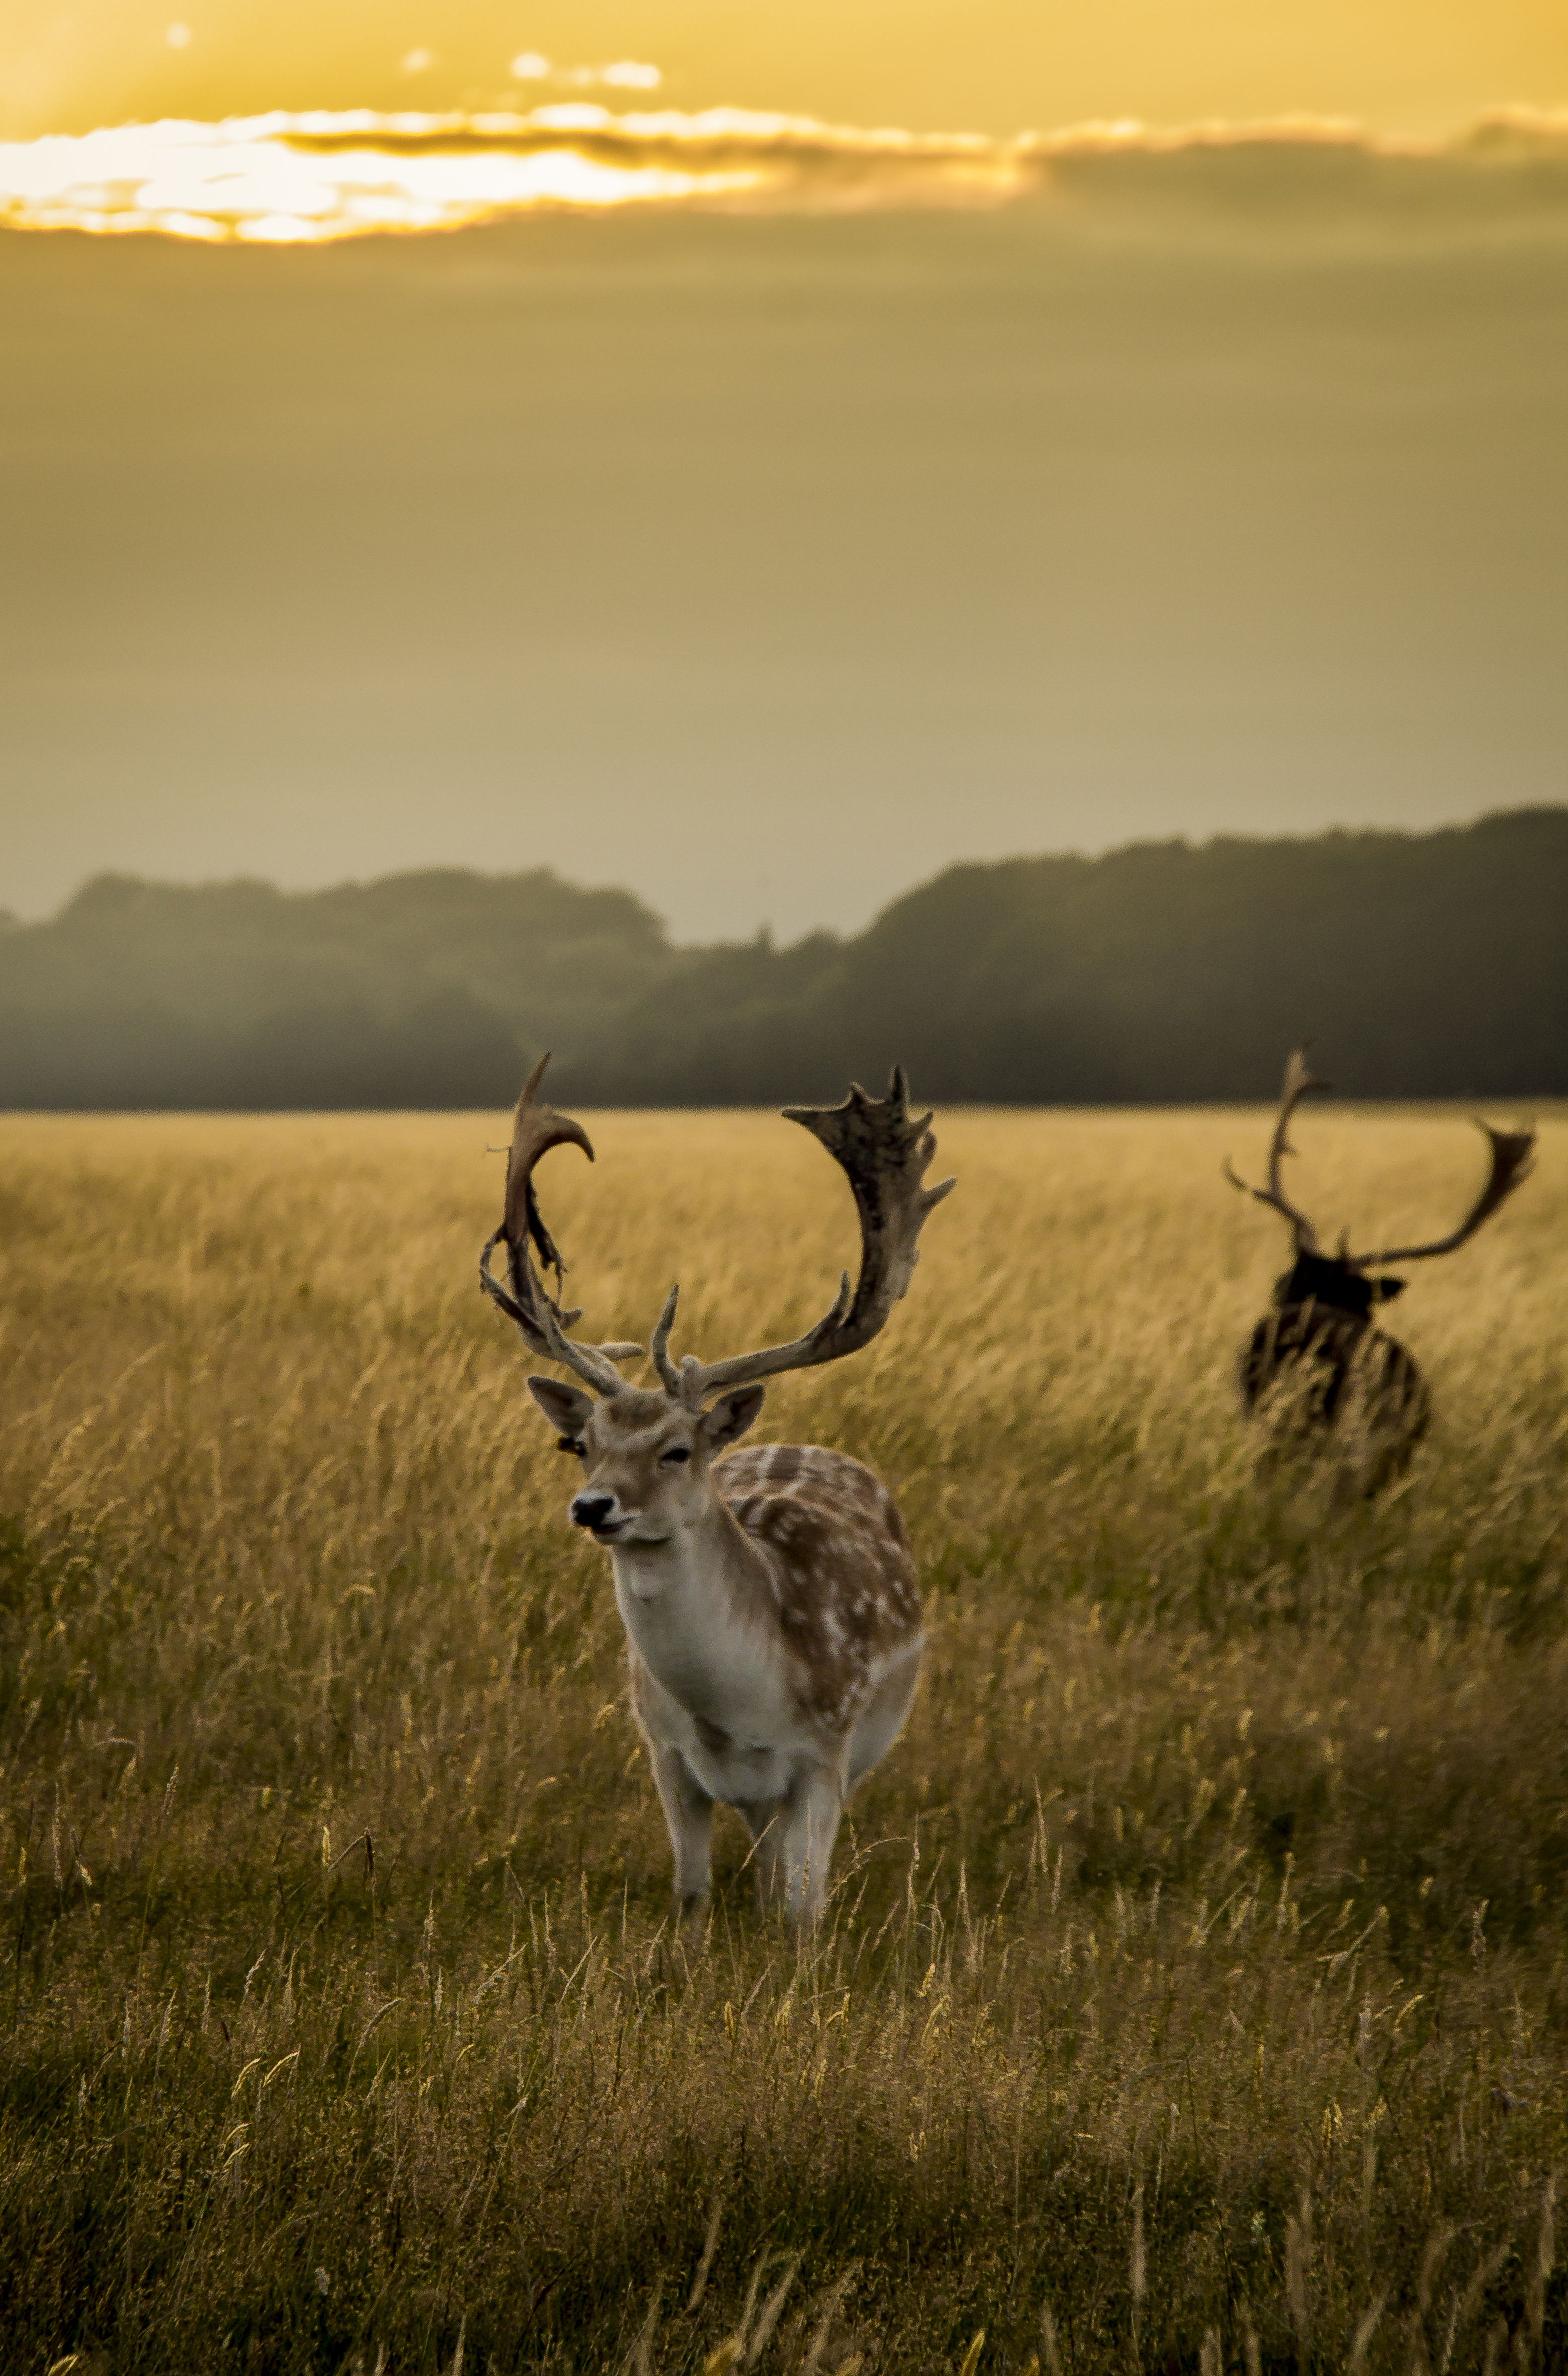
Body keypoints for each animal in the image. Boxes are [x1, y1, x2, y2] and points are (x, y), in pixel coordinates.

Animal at [477, 1060, 950, 1929]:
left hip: (866, 1746)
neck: (737, 1711)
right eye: (580, 1444)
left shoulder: (824, 1754)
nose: (593, 1506)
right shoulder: (665, 1752)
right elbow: (691, 1892)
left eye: (677, 1449)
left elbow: (804, 1910)